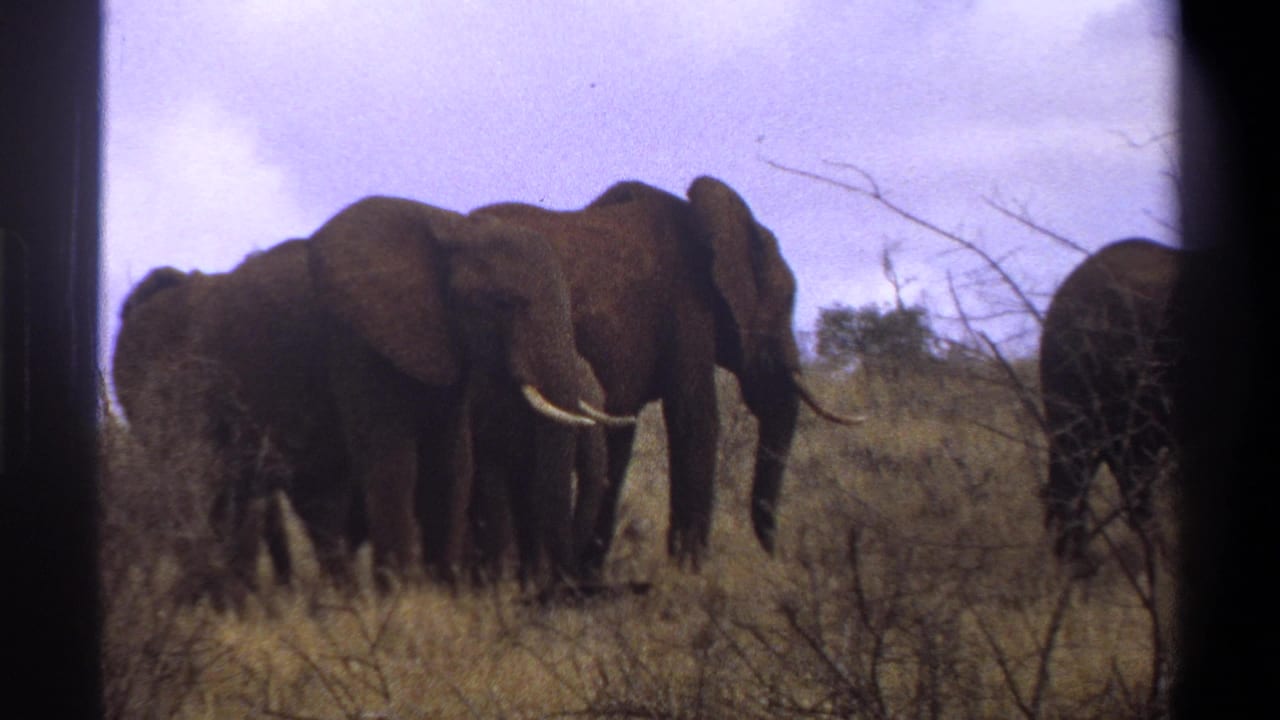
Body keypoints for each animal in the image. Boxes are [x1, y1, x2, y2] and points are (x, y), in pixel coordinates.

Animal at [473, 176, 862, 577]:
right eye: (786, 301)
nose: (776, 556)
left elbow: (620, 436)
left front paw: (589, 576)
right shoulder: (686, 310)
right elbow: (695, 420)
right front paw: (691, 575)